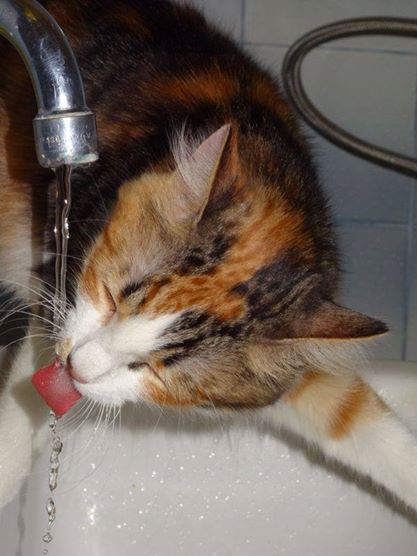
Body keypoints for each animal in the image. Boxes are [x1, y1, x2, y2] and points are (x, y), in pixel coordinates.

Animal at [0, 0, 417, 515]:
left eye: (156, 369)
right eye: (112, 298)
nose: (77, 367)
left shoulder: (289, 373)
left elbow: (355, 416)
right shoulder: (55, 278)